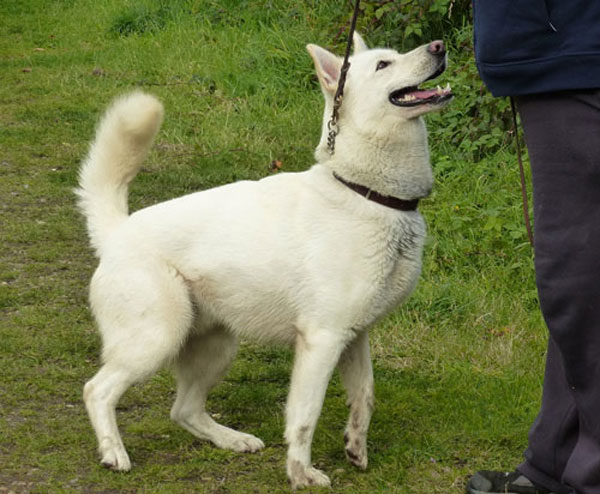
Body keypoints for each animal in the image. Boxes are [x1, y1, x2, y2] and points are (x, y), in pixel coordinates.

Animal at [77, 32, 450, 488]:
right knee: (98, 390)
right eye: (383, 65)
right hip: (155, 341)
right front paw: (301, 474)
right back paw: (114, 452)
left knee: (183, 410)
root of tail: (117, 231)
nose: (439, 47)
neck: (366, 192)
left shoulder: (355, 337)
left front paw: (355, 449)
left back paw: (232, 439)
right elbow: (304, 416)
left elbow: (364, 398)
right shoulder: (322, 341)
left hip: (217, 347)